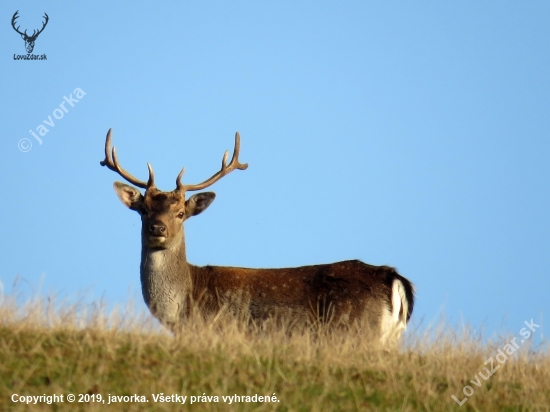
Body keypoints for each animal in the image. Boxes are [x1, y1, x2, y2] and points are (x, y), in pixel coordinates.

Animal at [101, 129, 416, 342]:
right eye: (143, 210)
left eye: (180, 213)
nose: (158, 229)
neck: (184, 308)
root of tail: (395, 279)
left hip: (357, 334)